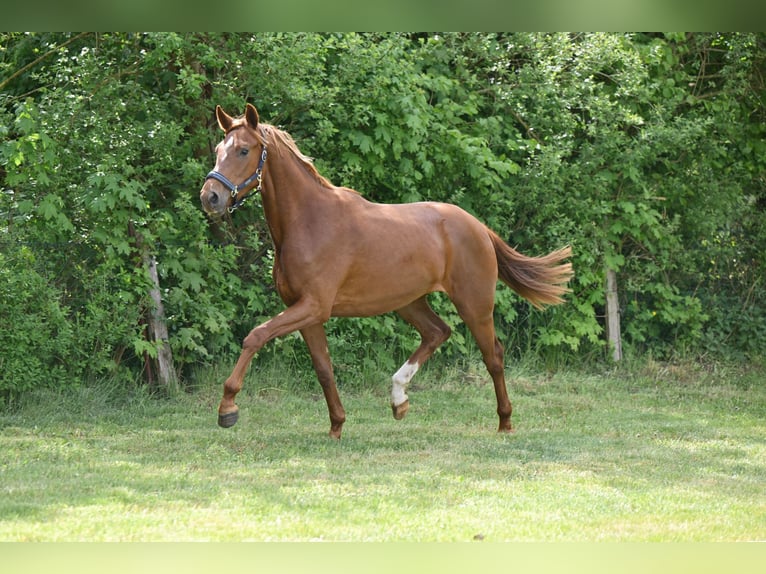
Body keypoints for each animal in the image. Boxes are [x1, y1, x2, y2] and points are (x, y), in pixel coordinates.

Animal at [199, 103, 573, 439]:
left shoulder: (313, 306)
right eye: (218, 150)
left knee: (492, 355)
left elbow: (256, 335)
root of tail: (478, 227)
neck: (309, 221)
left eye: (243, 150)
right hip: (409, 301)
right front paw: (336, 427)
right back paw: (398, 400)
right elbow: (324, 369)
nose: (210, 197)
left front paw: (227, 408)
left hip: (474, 304)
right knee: (437, 332)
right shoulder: (308, 313)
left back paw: (504, 422)